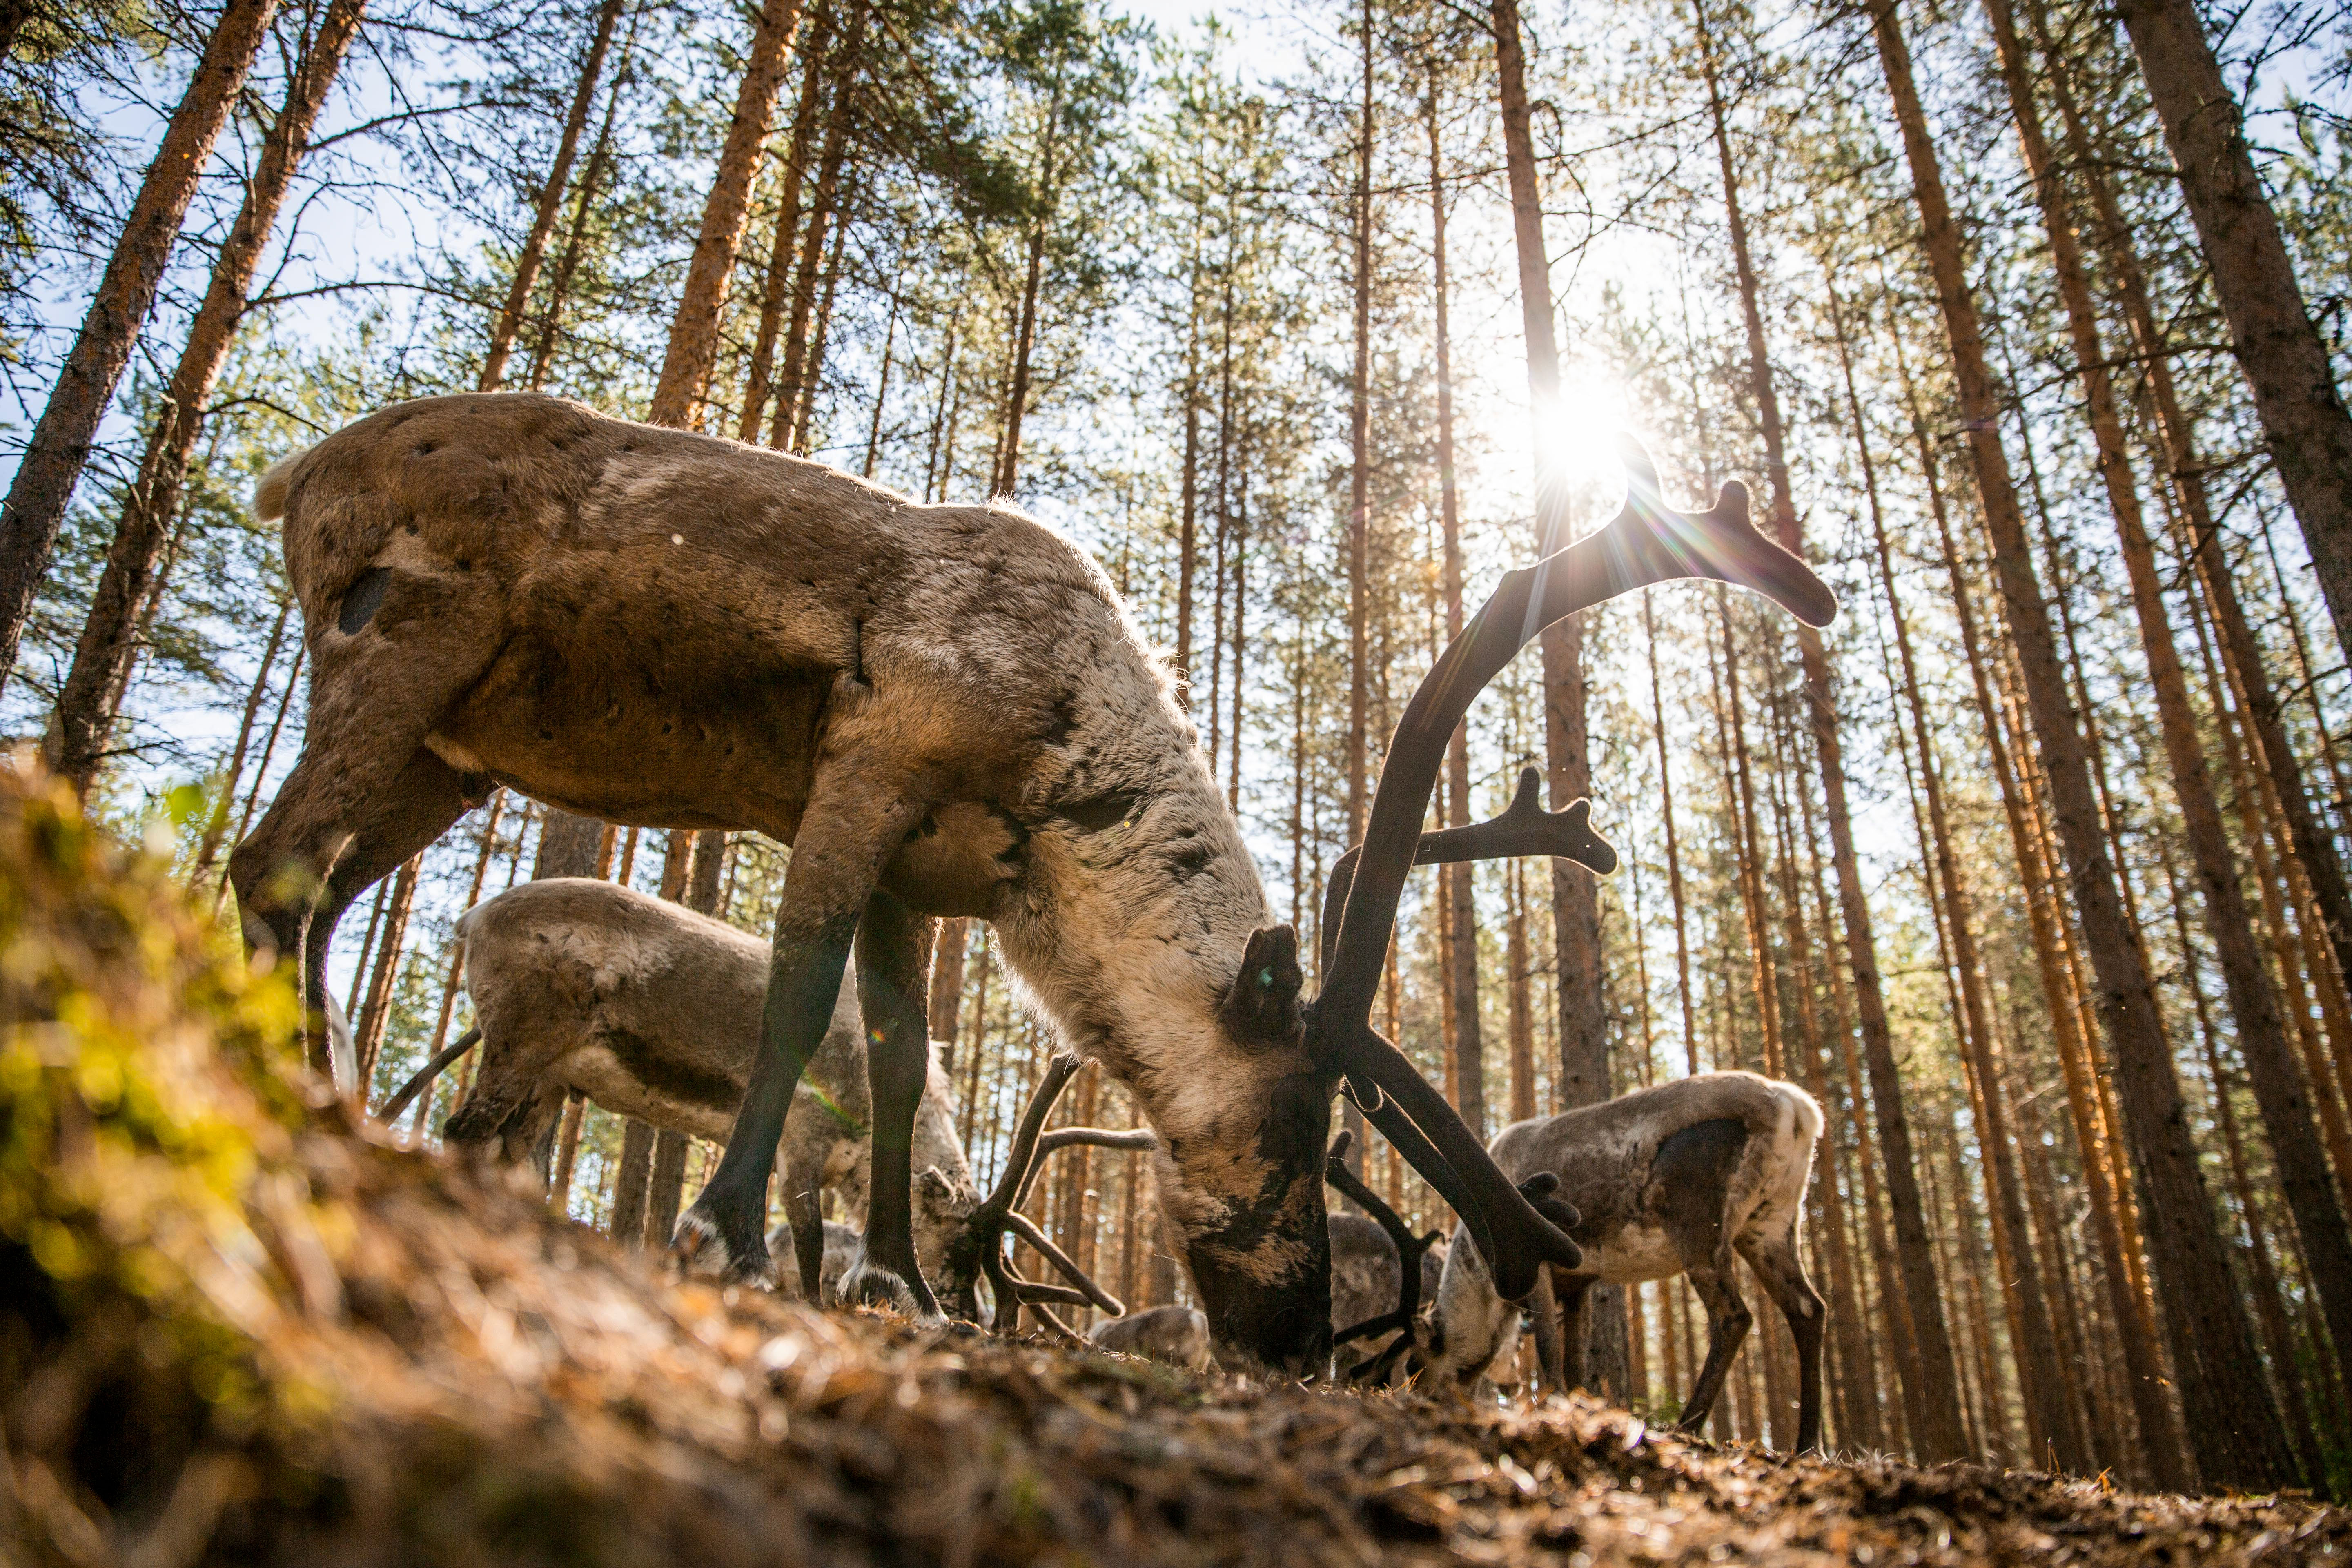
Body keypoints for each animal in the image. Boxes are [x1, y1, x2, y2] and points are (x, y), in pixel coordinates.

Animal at [231, 387, 1835, 1374]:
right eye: (1298, 1130)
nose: (1299, 1346)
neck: (1059, 772)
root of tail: (292, 470)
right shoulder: (860, 776)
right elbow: (803, 998)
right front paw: (731, 1229)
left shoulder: (915, 879)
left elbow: (896, 1054)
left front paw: (900, 1282)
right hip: (400, 650)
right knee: (275, 864)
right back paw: (302, 1089)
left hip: (452, 752)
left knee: (315, 884)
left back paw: (320, 1086)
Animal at [1419, 1072, 1827, 1453]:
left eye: (1427, 1351)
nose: (1427, 1395)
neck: (1479, 1273)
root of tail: (1795, 1107)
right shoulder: (1579, 1282)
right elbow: (1575, 1360)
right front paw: (1574, 1409)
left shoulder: (1540, 1269)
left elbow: (1550, 1347)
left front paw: (1551, 1408)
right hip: (1771, 1223)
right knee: (1809, 1308)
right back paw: (1807, 1444)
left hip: (1698, 1223)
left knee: (1734, 1316)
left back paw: (1686, 1427)